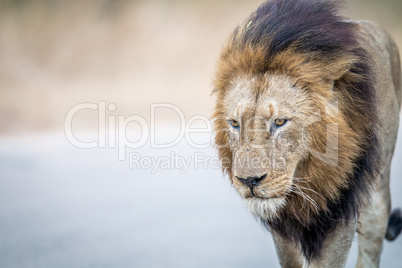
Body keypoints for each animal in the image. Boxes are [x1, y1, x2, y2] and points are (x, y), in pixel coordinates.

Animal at [212, 0, 400, 266]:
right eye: (235, 123)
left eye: (280, 122)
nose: (249, 181)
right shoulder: (282, 221)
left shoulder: (339, 206)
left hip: (378, 195)